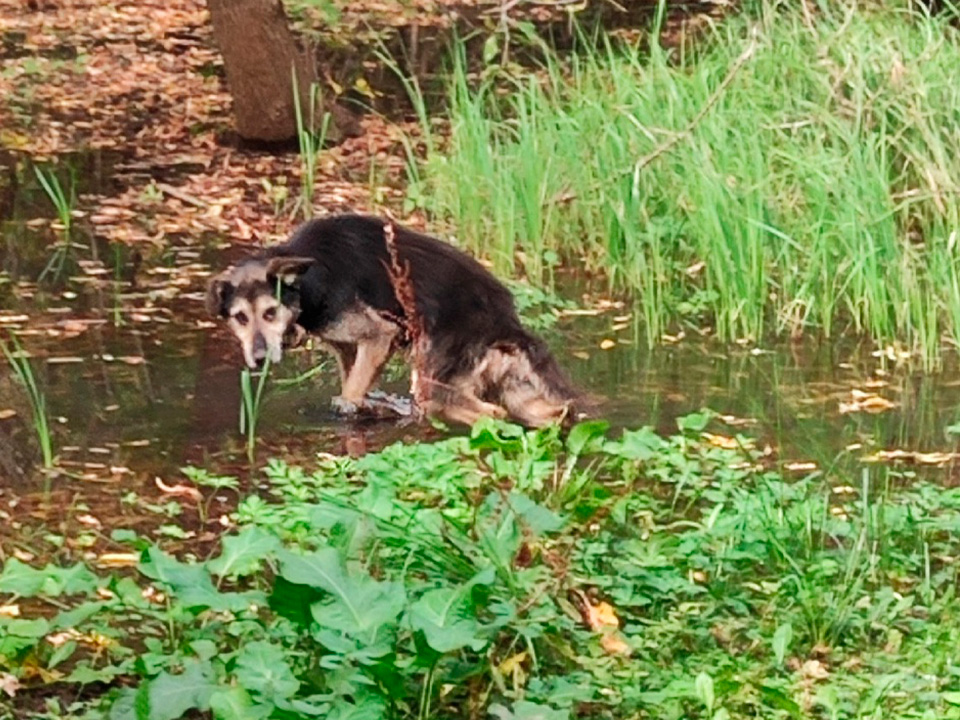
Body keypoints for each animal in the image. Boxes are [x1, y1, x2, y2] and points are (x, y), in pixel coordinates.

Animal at [204, 214, 584, 428]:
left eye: (270, 312)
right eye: (240, 318)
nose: (259, 357)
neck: (308, 280)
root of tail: (507, 322)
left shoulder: (378, 335)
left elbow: (349, 397)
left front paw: (364, 409)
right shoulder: (348, 348)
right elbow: (352, 385)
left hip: (434, 382)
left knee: (490, 414)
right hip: (515, 391)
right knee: (551, 414)